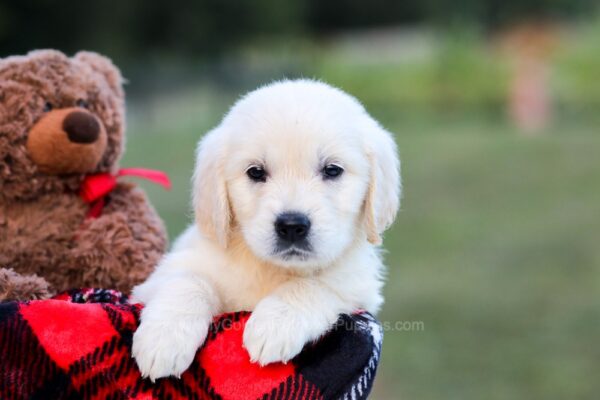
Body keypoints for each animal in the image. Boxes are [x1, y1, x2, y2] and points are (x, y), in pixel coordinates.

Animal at [132, 79, 404, 382]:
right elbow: (187, 281)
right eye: (255, 172)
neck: (273, 269)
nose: (292, 226)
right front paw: (163, 339)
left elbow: (316, 283)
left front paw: (276, 323)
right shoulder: (162, 276)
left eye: (333, 170)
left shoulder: (358, 285)